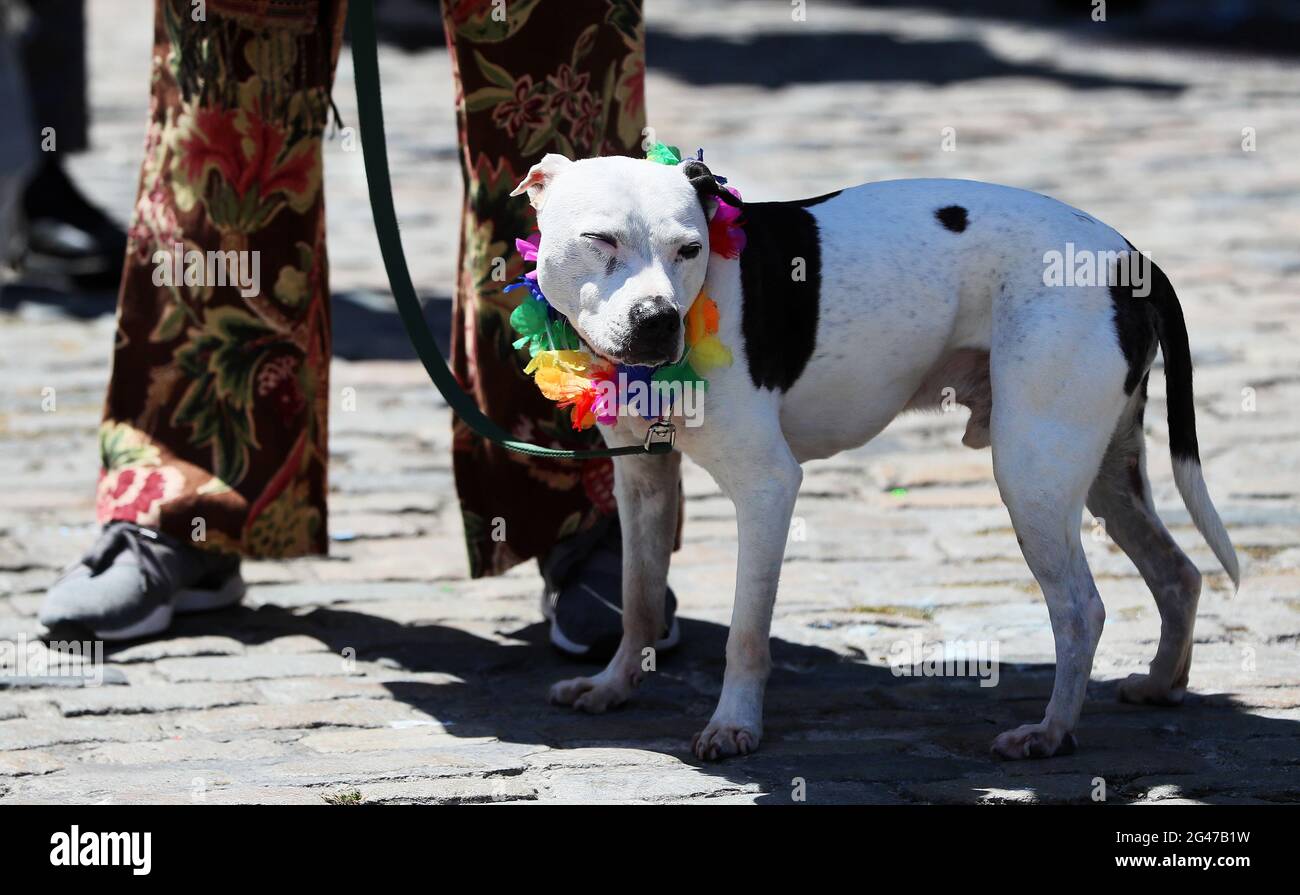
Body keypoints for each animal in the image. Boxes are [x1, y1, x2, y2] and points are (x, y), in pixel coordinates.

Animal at [506, 150, 1237, 759]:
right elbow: (638, 597)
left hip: (1033, 476)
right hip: (1103, 473)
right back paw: (1161, 684)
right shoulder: (644, 480)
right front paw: (613, 685)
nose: (658, 320)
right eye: (600, 240)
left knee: (1082, 609)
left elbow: (747, 632)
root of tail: (1129, 257)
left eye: (689, 249)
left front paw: (735, 724)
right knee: (1178, 573)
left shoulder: (768, 487)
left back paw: (1051, 731)